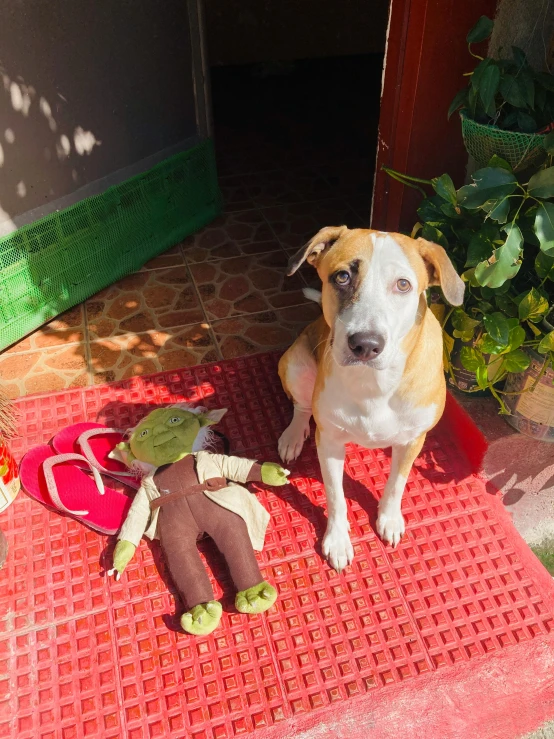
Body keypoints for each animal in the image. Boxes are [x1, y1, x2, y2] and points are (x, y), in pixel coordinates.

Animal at [276, 225, 462, 572]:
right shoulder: (329, 441)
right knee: (302, 406)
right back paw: (293, 436)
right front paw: (337, 540)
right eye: (342, 277)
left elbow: (397, 484)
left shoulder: (413, 441)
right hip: (295, 363)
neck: (374, 384)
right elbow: (336, 496)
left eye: (403, 284)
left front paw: (389, 519)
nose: (365, 344)